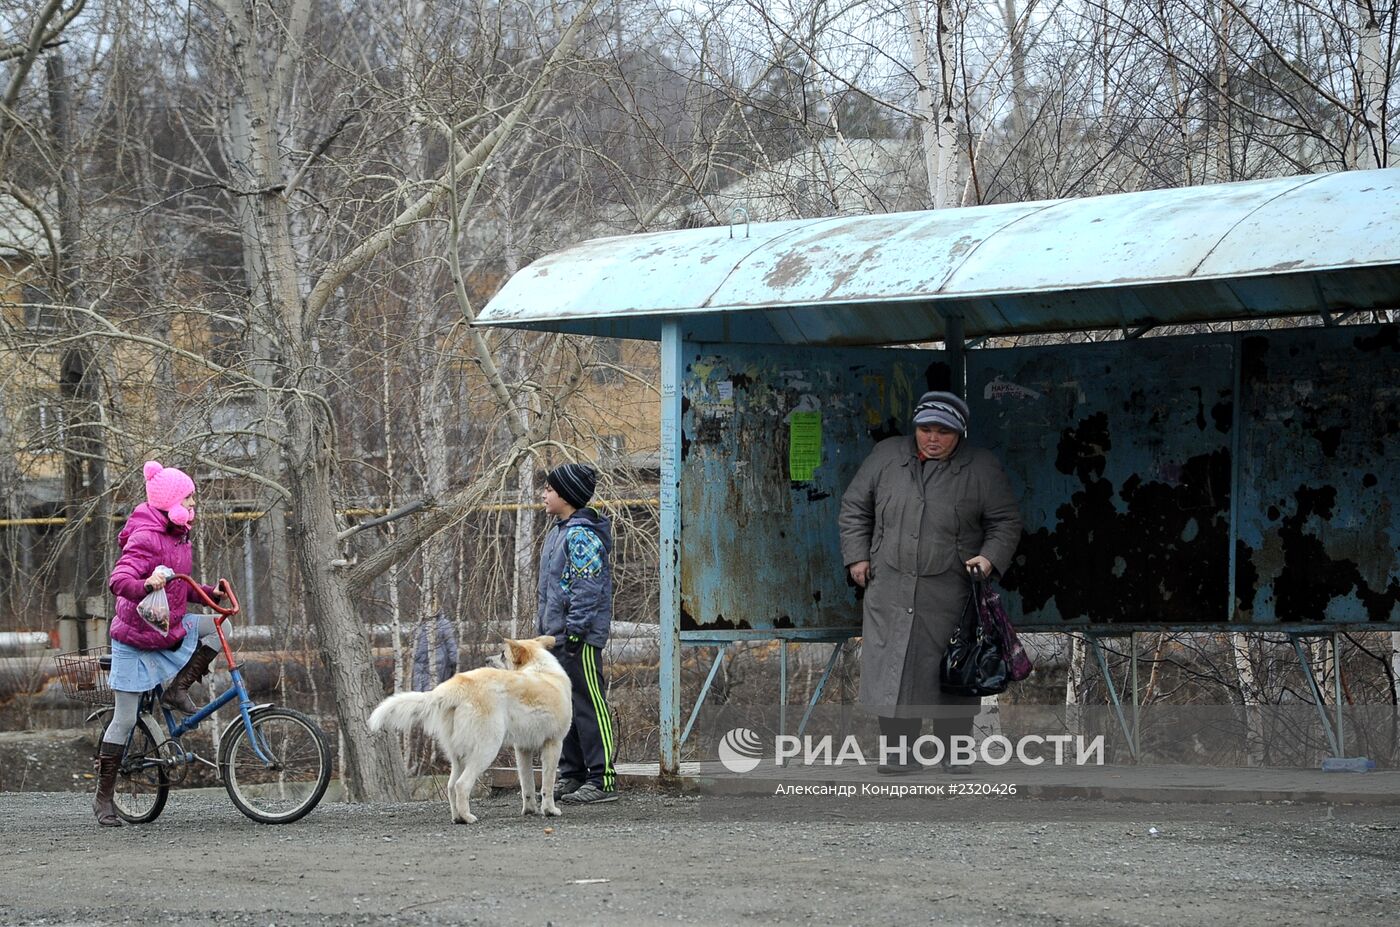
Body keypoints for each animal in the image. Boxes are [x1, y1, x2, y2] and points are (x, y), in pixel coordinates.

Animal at [372, 635, 574, 823]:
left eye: (502, 654)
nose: (486, 659)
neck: (540, 668)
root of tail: (455, 687)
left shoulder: (523, 749)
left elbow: (527, 784)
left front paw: (530, 810)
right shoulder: (554, 744)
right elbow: (548, 783)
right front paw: (549, 810)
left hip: (458, 756)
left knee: (451, 786)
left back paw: (457, 818)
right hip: (486, 749)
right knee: (462, 785)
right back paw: (468, 817)